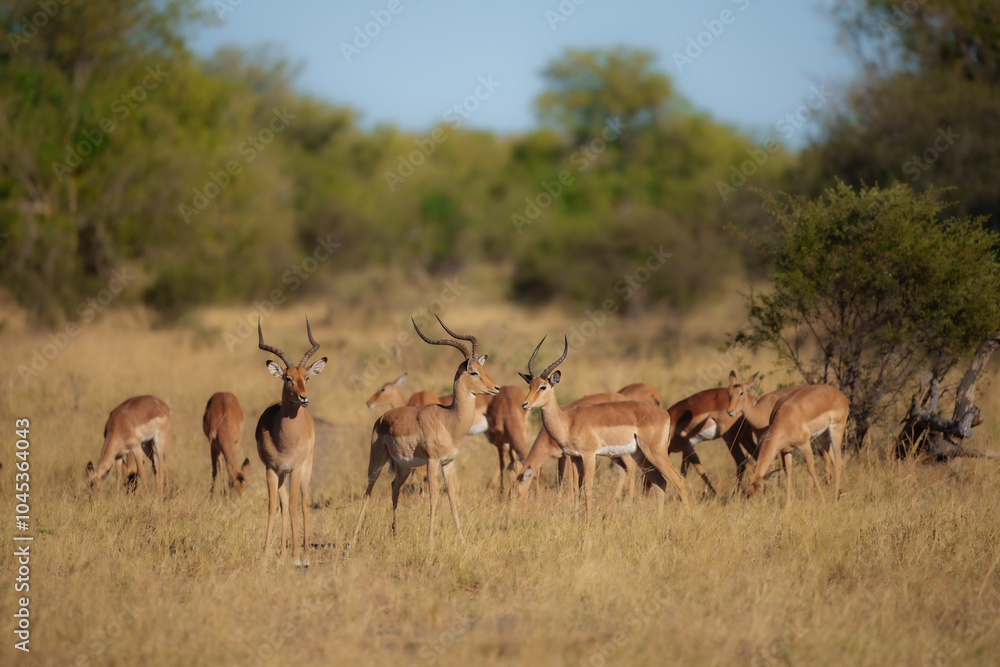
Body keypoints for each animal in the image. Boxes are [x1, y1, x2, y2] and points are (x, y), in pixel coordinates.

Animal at [255, 317, 327, 567]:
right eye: (288, 378)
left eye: (306, 377)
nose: (304, 398)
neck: (284, 439)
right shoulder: (271, 469)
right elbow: (273, 507)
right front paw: (266, 556)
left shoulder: (295, 468)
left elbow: (296, 507)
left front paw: (297, 557)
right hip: (282, 474)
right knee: (284, 505)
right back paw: (282, 555)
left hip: (306, 468)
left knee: (304, 504)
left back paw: (304, 556)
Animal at [348, 317, 499, 550]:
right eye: (473, 371)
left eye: (484, 368)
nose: (496, 388)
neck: (448, 419)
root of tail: (382, 418)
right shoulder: (432, 462)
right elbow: (434, 497)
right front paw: (430, 543)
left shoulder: (448, 463)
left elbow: (452, 497)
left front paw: (462, 540)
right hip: (376, 462)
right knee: (368, 493)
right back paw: (353, 540)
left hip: (403, 467)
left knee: (394, 488)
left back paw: (395, 534)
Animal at [519, 337, 687, 519]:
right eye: (530, 386)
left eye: (543, 386)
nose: (525, 404)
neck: (568, 421)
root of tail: (665, 414)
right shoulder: (575, 457)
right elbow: (576, 489)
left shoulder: (589, 455)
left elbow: (587, 488)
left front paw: (588, 520)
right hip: (640, 455)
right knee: (660, 482)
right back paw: (658, 519)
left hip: (655, 453)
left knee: (678, 480)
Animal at [726, 372, 849, 505]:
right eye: (748, 490)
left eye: (759, 486)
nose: (730, 411)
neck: (785, 418)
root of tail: (842, 396)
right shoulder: (786, 450)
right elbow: (787, 471)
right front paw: (788, 505)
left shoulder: (804, 444)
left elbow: (810, 468)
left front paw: (823, 500)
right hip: (823, 436)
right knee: (832, 459)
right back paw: (839, 494)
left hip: (836, 431)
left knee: (839, 462)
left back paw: (835, 500)